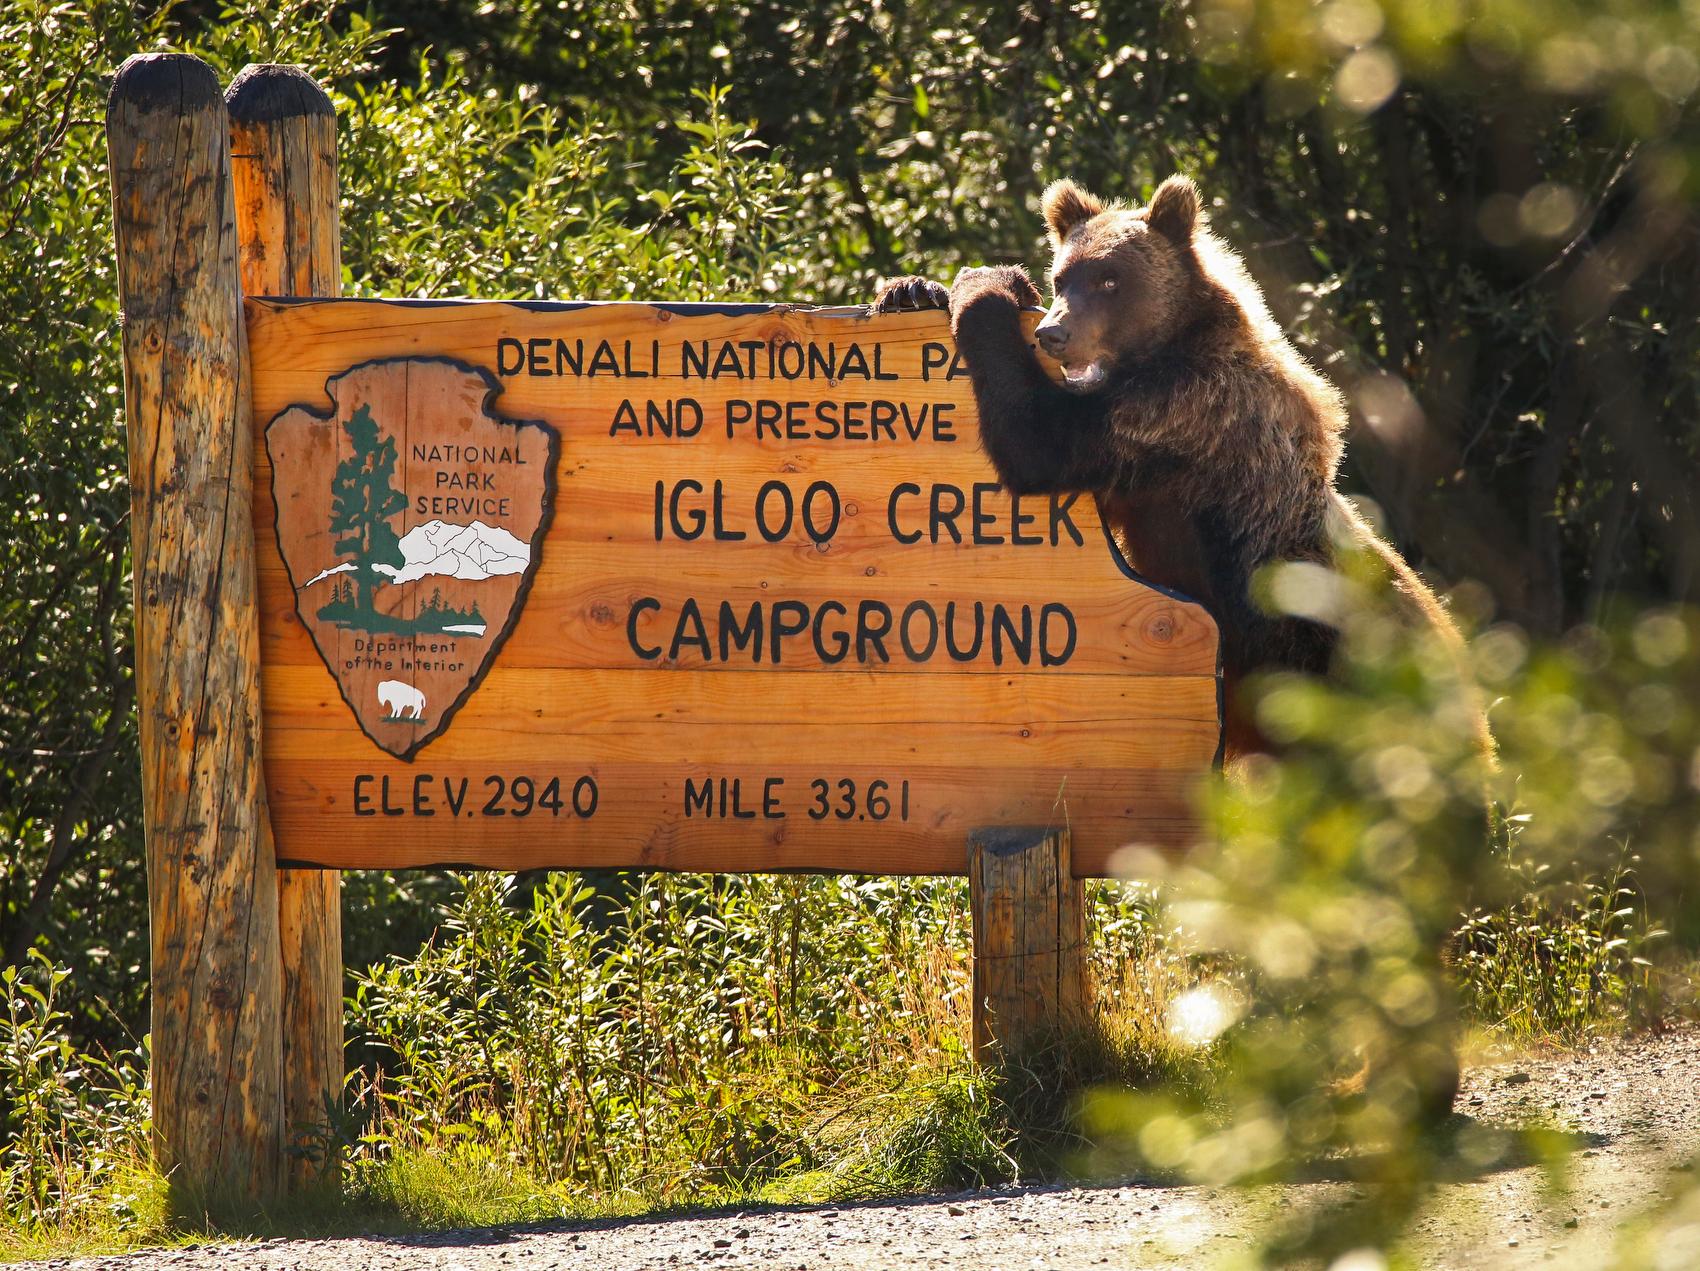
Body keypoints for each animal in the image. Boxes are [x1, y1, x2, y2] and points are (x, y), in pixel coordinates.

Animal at [872, 174, 1477, 761]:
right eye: (1062, 277)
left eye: (1110, 280)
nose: (1052, 333)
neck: (1169, 348)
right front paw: (911, 289)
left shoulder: (1175, 418)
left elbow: (1036, 441)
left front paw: (985, 284)